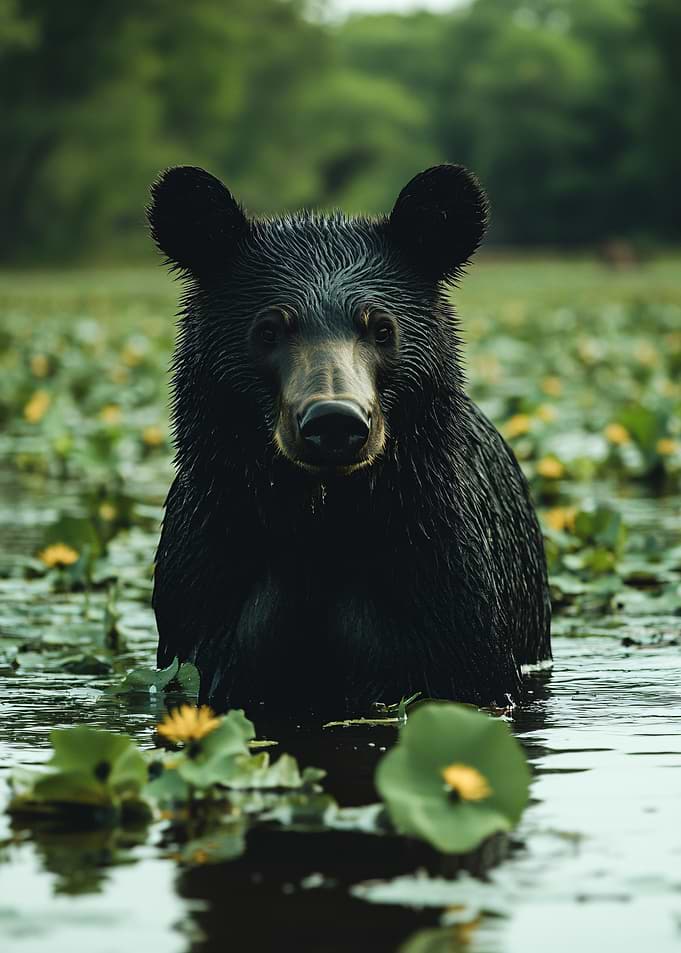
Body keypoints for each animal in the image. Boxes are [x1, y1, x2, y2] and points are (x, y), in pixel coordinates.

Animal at [147, 163, 551, 717]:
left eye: (382, 328)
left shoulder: (449, 594)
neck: (325, 524)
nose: (335, 421)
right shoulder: (206, 595)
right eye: (269, 329)